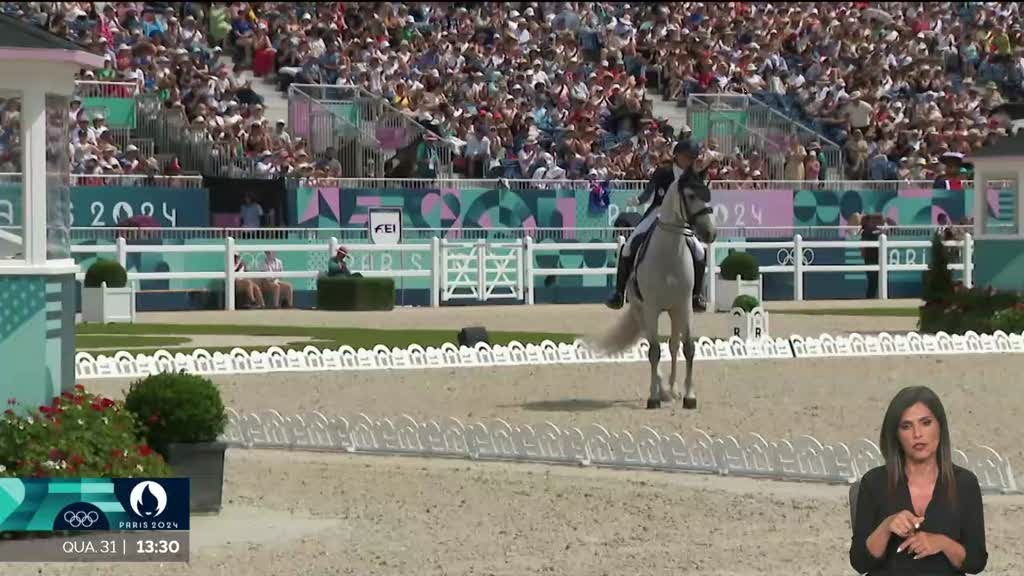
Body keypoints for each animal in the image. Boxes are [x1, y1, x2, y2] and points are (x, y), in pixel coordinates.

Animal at [589, 172, 716, 405]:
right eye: (691, 196)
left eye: (709, 195)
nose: (711, 233)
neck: (670, 253)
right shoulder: (651, 308)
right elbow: (655, 351)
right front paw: (654, 397)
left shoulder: (684, 306)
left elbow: (688, 348)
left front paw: (689, 396)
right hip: (642, 311)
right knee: (652, 345)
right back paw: (661, 389)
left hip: (674, 312)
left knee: (673, 346)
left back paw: (672, 390)